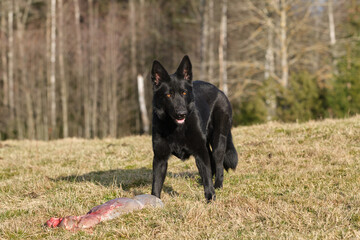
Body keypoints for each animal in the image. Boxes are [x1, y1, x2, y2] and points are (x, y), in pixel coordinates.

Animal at [150, 54, 238, 201]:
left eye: (184, 93)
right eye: (168, 95)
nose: (181, 113)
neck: (176, 128)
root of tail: (219, 90)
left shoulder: (200, 152)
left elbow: (206, 176)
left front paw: (210, 198)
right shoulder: (160, 158)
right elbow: (156, 183)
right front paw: (153, 201)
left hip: (218, 140)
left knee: (218, 164)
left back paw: (218, 185)